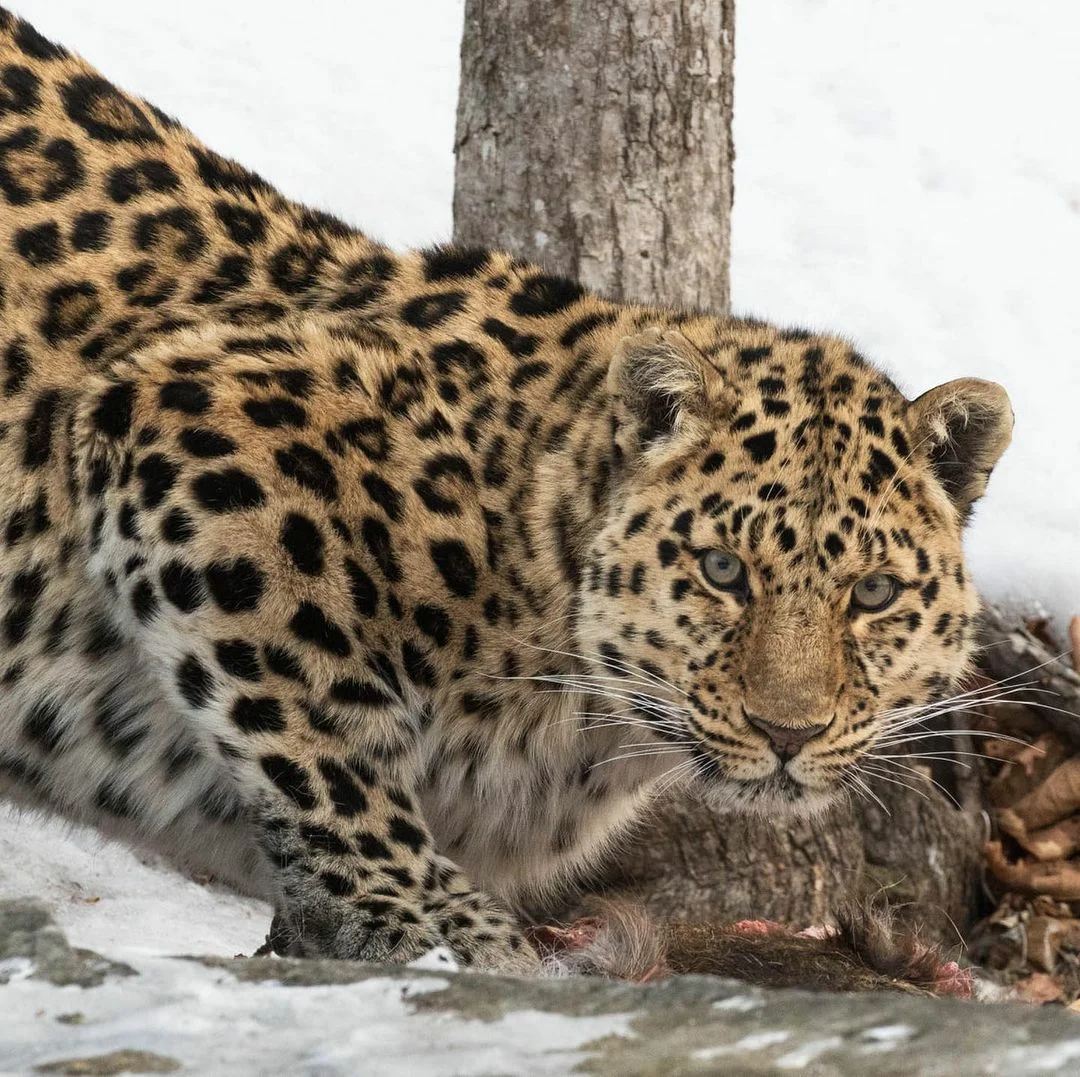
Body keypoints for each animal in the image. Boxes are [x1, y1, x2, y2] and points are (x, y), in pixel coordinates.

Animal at [0, 6, 1010, 967]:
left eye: (873, 593)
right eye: (722, 570)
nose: (788, 732)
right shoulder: (196, 423)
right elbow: (327, 730)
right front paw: (438, 921)